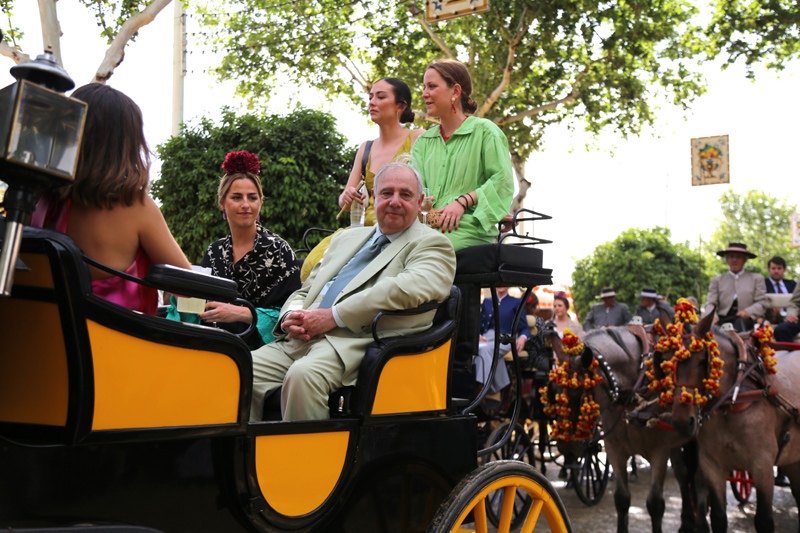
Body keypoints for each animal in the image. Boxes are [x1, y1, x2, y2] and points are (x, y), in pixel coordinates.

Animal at [544, 318, 708, 528]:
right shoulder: (615, 449)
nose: (566, 448)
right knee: (682, 473)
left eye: (580, 397)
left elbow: (655, 504)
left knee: (698, 478)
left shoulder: (659, 451)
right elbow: (621, 500)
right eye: (554, 392)